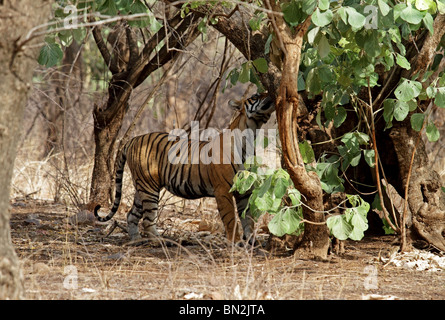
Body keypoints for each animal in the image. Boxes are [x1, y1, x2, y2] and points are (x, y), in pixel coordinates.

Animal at [94, 94, 274, 244]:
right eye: (256, 95)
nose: (271, 92)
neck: (250, 136)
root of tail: (133, 139)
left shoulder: (245, 191)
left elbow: (248, 218)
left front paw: (251, 241)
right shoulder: (223, 190)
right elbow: (231, 219)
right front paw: (235, 243)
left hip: (142, 187)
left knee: (132, 215)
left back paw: (136, 240)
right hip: (149, 187)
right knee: (147, 220)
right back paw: (160, 242)